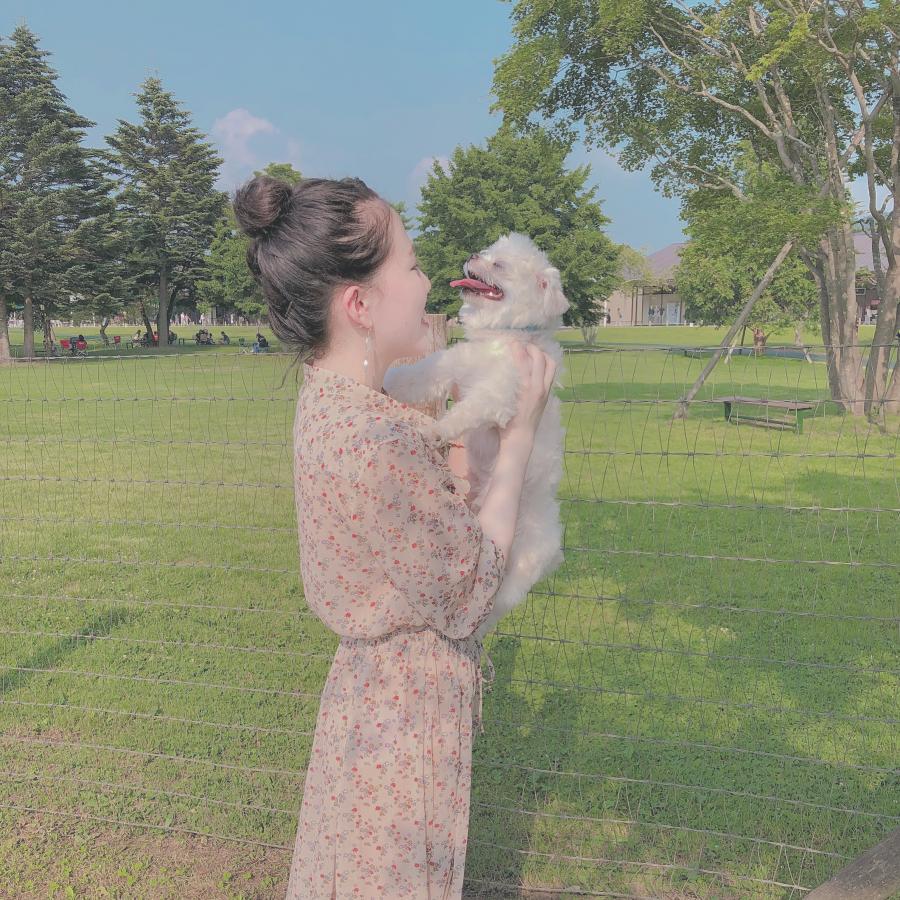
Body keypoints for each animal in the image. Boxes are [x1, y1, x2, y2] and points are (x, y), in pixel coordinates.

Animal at [383, 232, 567, 641]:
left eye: (498, 265)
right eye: (486, 252)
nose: (471, 255)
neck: (498, 340)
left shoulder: (498, 392)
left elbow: (465, 413)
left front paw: (436, 430)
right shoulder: (454, 366)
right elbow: (422, 375)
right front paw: (391, 379)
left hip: (515, 571)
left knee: (490, 609)